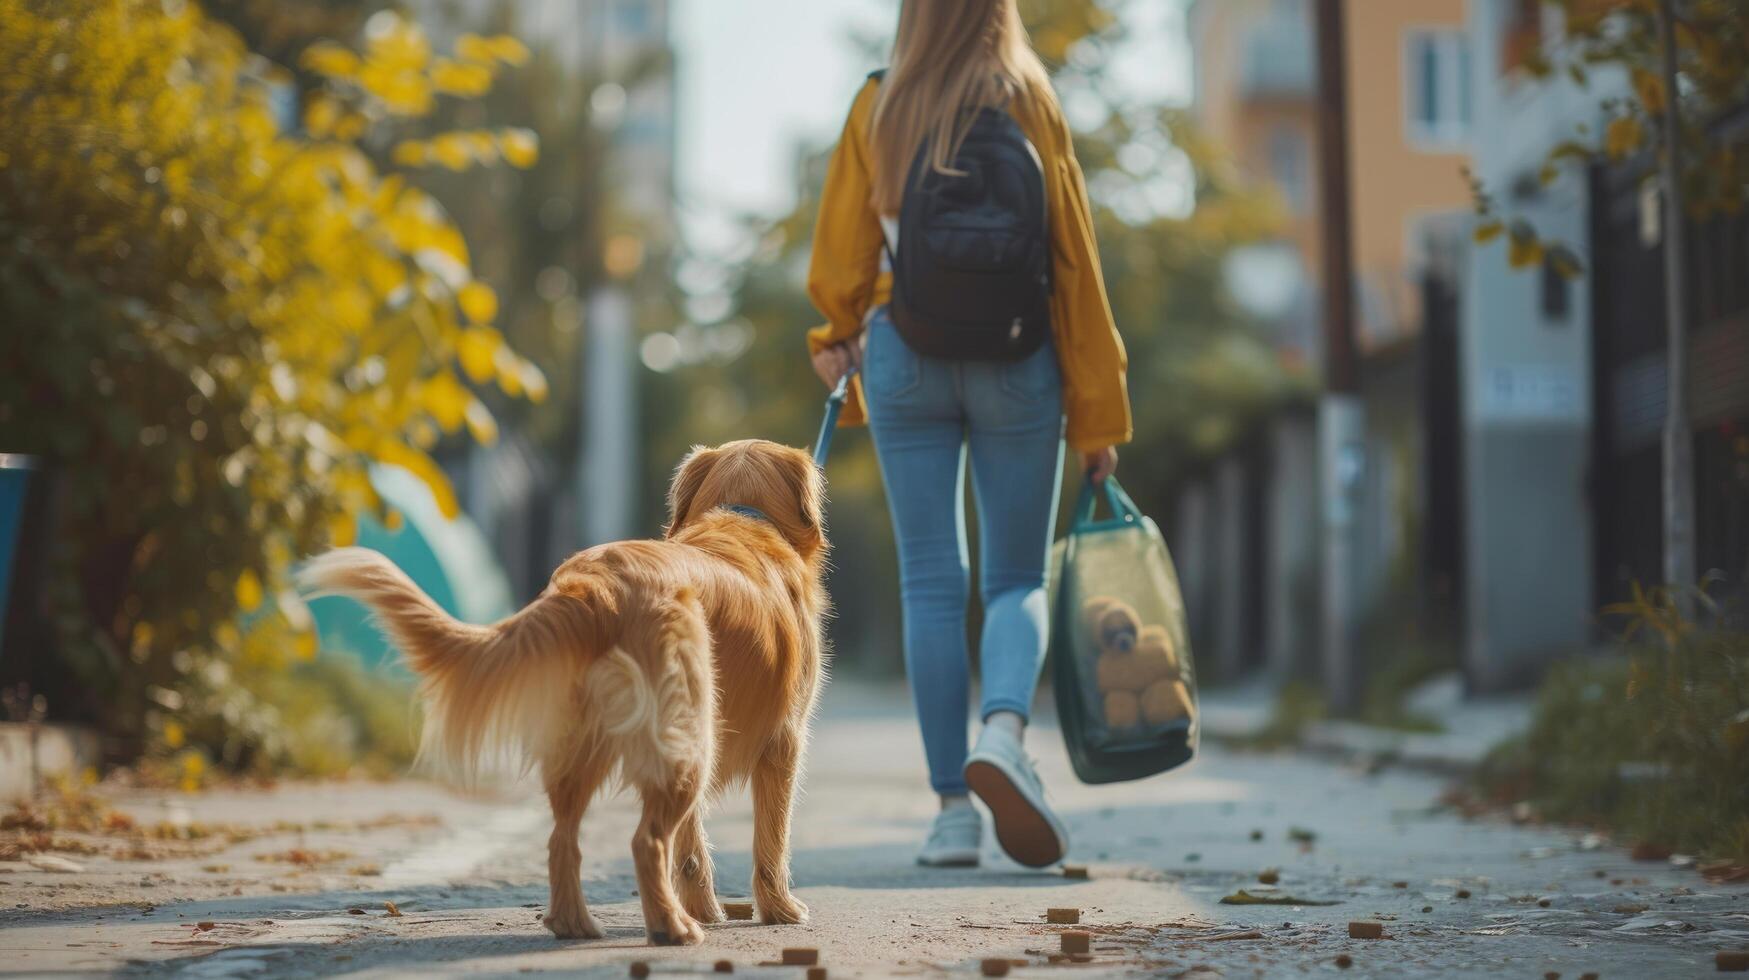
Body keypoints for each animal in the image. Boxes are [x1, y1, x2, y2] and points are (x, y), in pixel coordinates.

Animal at [300, 441, 832, 945]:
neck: (744, 515)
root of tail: (598, 590)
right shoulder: (785, 742)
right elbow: (771, 839)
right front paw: (779, 910)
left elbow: (692, 849)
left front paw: (706, 908)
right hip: (685, 738)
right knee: (644, 841)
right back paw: (670, 929)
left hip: (590, 740)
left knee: (563, 839)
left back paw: (575, 922)